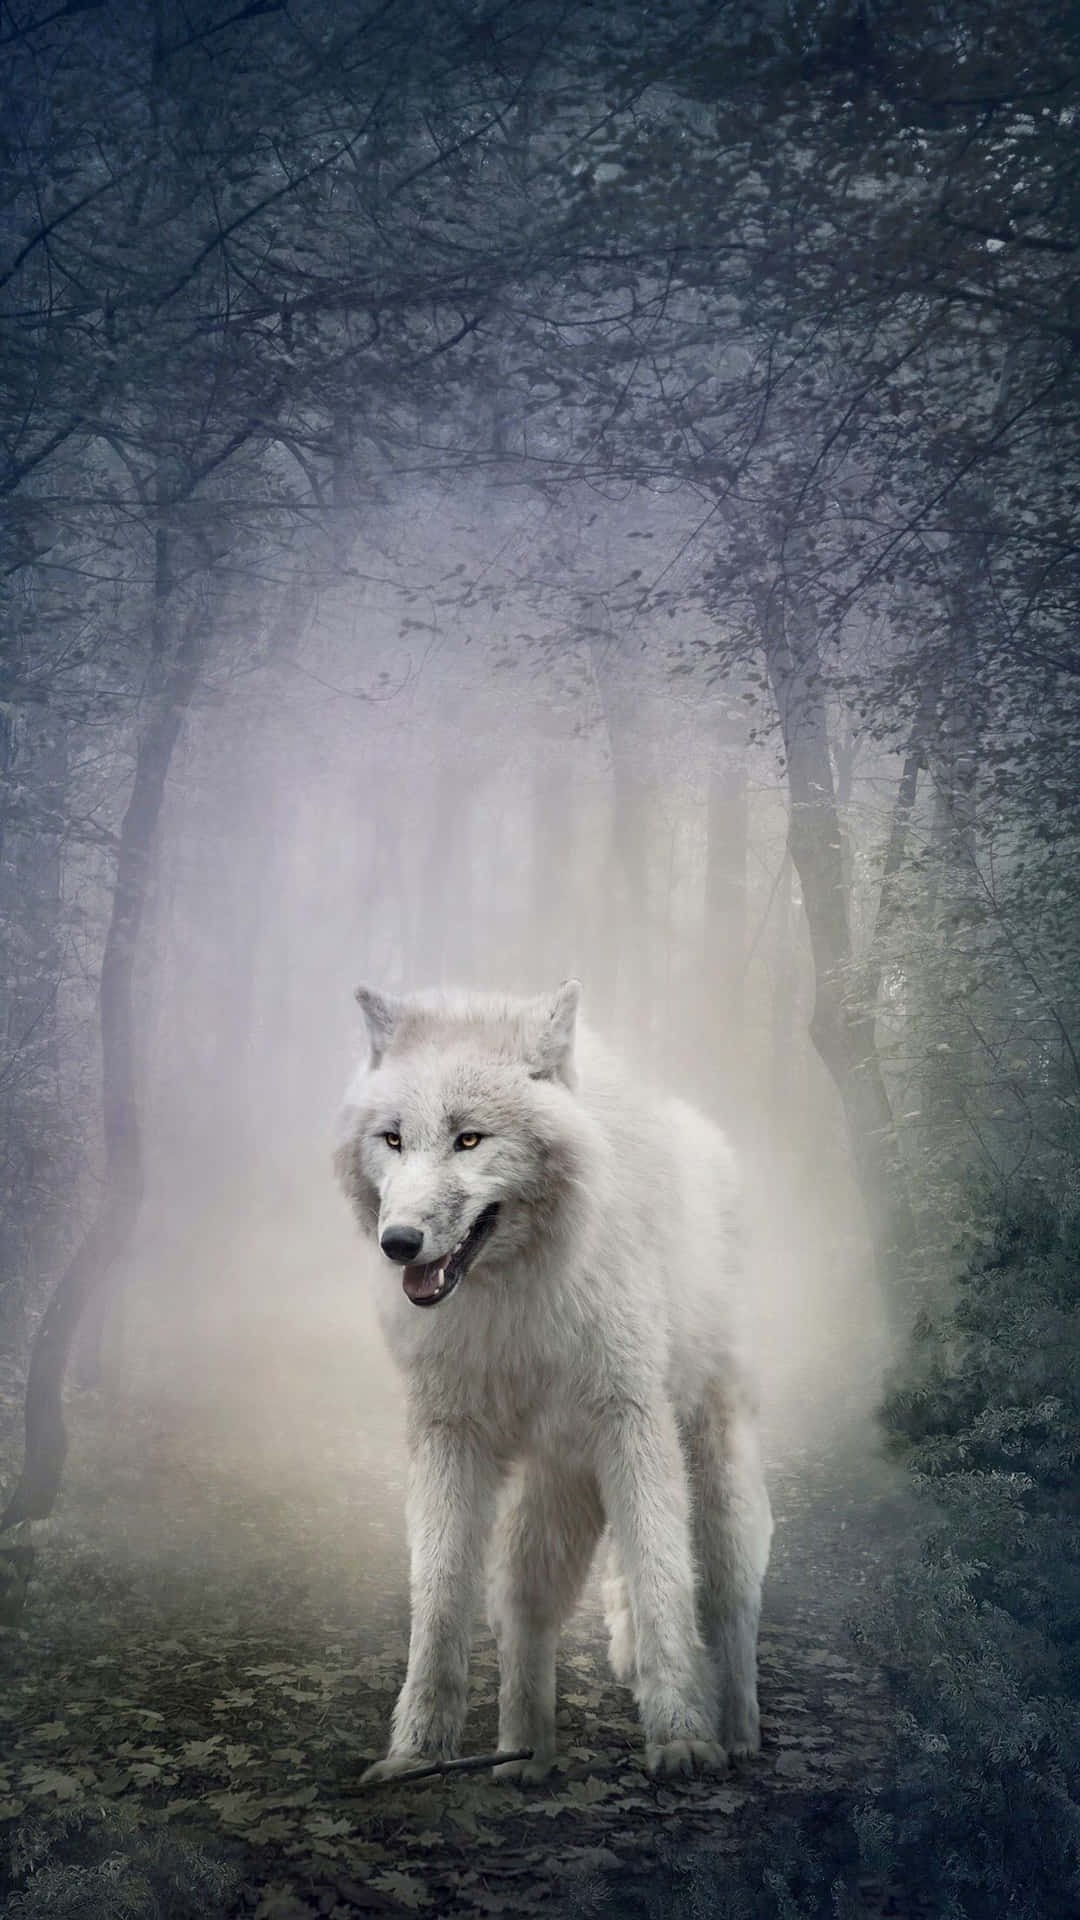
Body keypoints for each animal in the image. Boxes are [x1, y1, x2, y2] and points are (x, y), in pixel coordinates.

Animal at [334, 981, 772, 1782]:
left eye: (469, 1140)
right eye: (393, 1140)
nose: (399, 1243)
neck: (512, 1300)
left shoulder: (633, 1422)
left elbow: (662, 1579)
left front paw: (683, 1739)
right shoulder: (447, 1437)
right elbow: (438, 1601)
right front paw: (415, 1755)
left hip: (710, 1464)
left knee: (728, 1593)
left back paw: (737, 1731)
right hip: (553, 1487)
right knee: (525, 1604)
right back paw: (522, 1754)